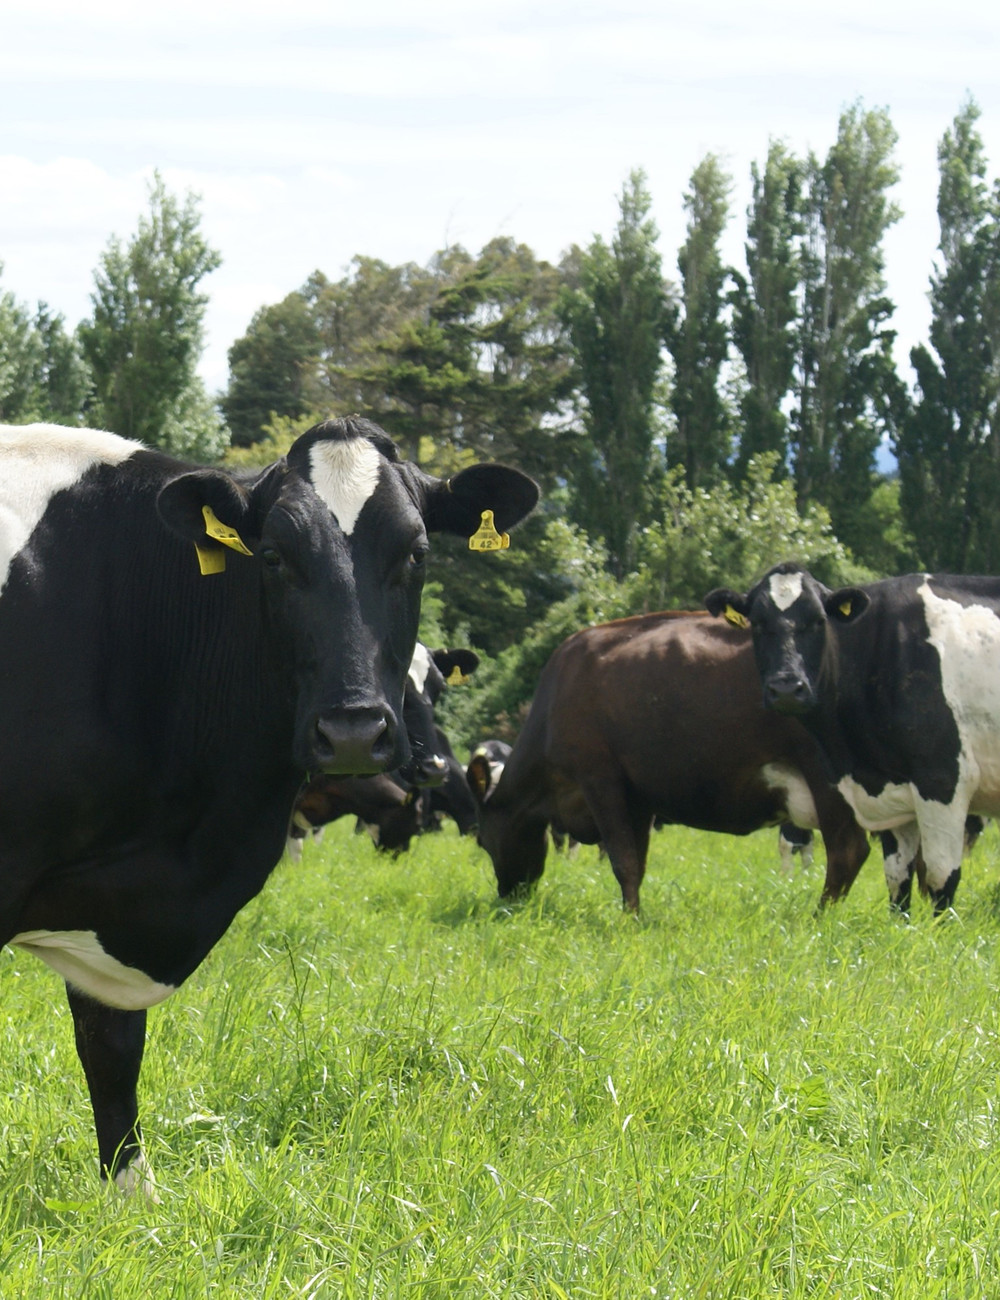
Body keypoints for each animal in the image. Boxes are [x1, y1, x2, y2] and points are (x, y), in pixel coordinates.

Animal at [465, 613, 863, 909]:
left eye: (482, 840)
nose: (506, 897)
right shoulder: (637, 795)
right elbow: (636, 862)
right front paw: (633, 911)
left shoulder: (599, 778)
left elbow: (622, 861)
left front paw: (630, 921)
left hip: (827, 775)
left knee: (847, 852)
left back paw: (820, 918)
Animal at [702, 561, 998, 915]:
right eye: (757, 623)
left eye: (819, 620)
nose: (786, 688)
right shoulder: (890, 789)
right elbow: (897, 879)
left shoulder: (942, 779)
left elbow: (941, 877)